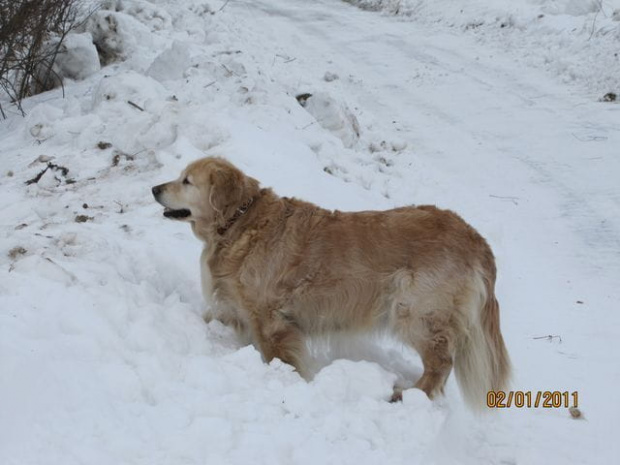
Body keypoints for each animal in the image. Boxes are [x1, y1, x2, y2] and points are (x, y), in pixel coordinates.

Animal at [153, 158, 512, 408]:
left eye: (186, 180)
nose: (155, 188)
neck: (239, 221)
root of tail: (477, 239)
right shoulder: (233, 305)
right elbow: (213, 317)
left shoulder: (269, 317)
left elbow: (278, 355)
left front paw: (287, 380)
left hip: (415, 311)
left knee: (441, 363)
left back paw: (406, 395)